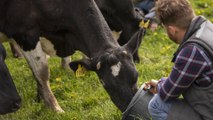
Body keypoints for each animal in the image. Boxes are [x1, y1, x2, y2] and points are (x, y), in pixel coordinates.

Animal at [0, 0, 145, 112]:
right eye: (105, 84)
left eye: (136, 76)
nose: (130, 107)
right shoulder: (24, 34)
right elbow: (42, 73)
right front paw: (55, 108)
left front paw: (40, 98)